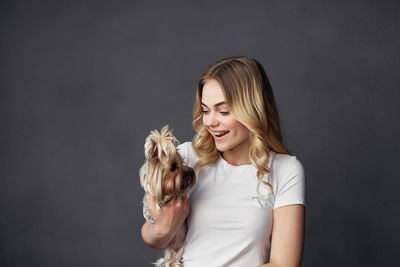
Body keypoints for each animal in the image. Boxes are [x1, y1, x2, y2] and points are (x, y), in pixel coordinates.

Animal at [140, 126, 196, 267]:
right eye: (173, 168)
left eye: (183, 163)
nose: (189, 173)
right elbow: (149, 203)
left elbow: (179, 193)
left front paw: (167, 197)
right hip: (169, 247)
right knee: (170, 258)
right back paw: (166, 261)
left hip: (184, 245)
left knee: (177, 258)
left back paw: (174, 262)